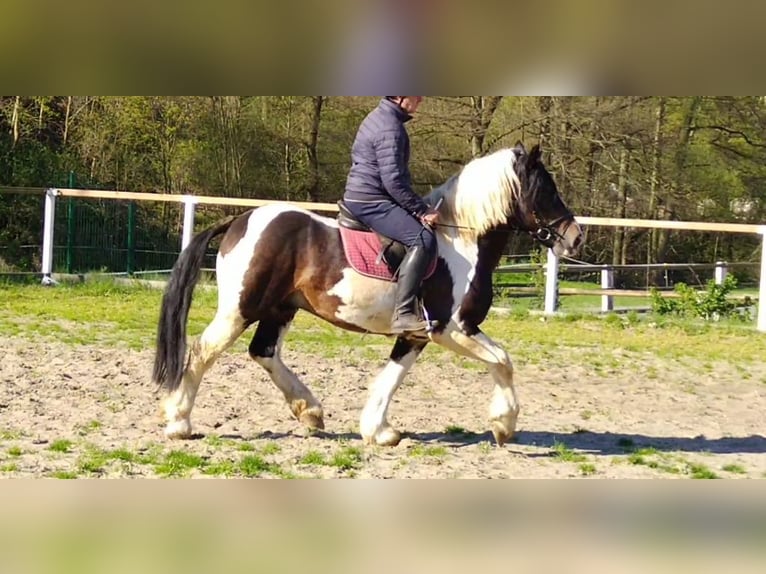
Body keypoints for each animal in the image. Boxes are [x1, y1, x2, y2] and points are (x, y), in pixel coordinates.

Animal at [152, 142, 583, 447]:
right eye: (545, 190)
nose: (576, 238)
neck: (460, 242)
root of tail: (239, 220)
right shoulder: (451, 328)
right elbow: (503, 361)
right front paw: (503, 425)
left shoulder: (416, 334)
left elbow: (392, 376)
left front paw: (378, 430)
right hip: (241, 308)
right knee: (203, 351)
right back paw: (179, 422)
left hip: (279, 309)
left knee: (264, 352)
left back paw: (309, 411)